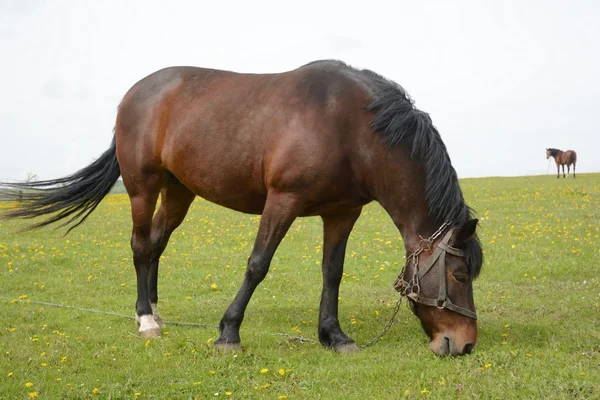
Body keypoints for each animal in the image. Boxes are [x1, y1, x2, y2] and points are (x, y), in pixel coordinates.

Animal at [0, 60, 482, 356]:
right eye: (459, 275)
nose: (464, 344)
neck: (350, 125)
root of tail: (135, 94)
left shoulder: (342, 213)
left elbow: (333, 272)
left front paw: (333, 335)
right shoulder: (283, 200)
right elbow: (258, 264)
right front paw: (228, 331)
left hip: (179, 193)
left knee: (156, 244)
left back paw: (156, 309)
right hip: (142, 187)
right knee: (139, 246)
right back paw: (145, 320)